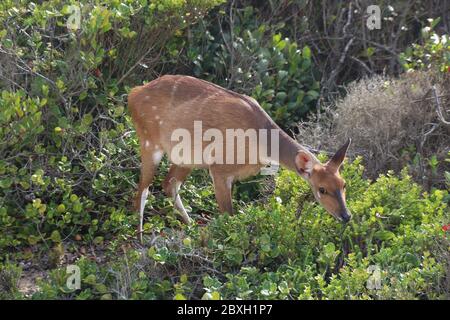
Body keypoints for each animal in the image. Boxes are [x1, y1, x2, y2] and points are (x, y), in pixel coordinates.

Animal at [128, 75, 354, 240]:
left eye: (343, 184)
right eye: (321, 189)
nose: (346, 216)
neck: (259, 142)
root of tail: (134, 93)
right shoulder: (219, 169)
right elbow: (229, 215)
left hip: (185, 157)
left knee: (169, 183)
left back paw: (190, 226)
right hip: (149, 143)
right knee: (142, 191)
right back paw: (139, 238)